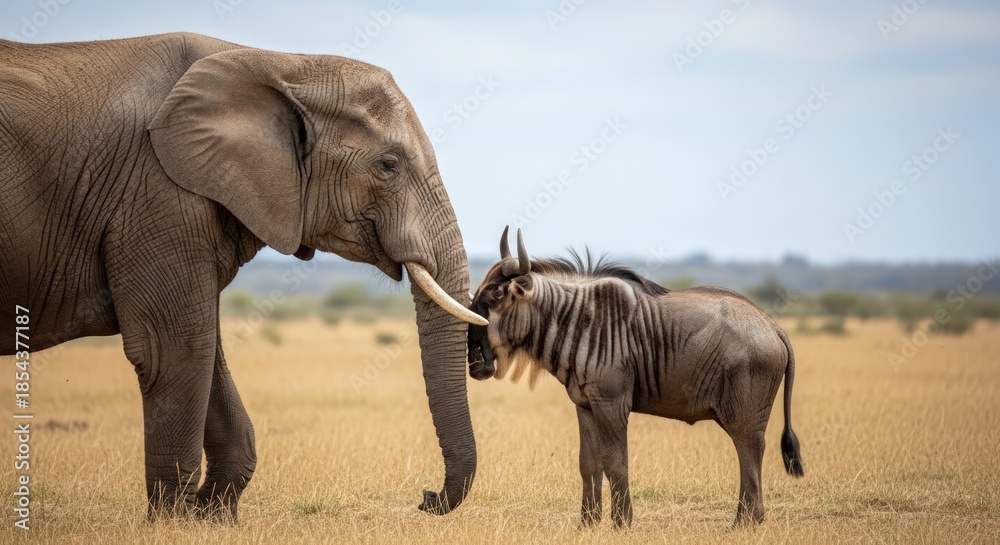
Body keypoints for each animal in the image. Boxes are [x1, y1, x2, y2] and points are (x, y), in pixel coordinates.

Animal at [0, 32, 488, 520]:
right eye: (389, 164)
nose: (425, 497)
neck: (280, 62)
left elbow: (206, 351)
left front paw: (210, 515)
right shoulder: (158, 194)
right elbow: (174, 350)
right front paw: (173, 520)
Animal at [467, 227, 804, 528]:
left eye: (495, 298)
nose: (473, 362)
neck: (575, 320)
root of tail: (772, 325)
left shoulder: (612, 405)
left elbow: (616, 463)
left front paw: (621, 522)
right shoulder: (585, 405)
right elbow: (588, 464)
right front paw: (587, 524)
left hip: (744, 418)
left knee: (750, 453)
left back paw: (744, 522)